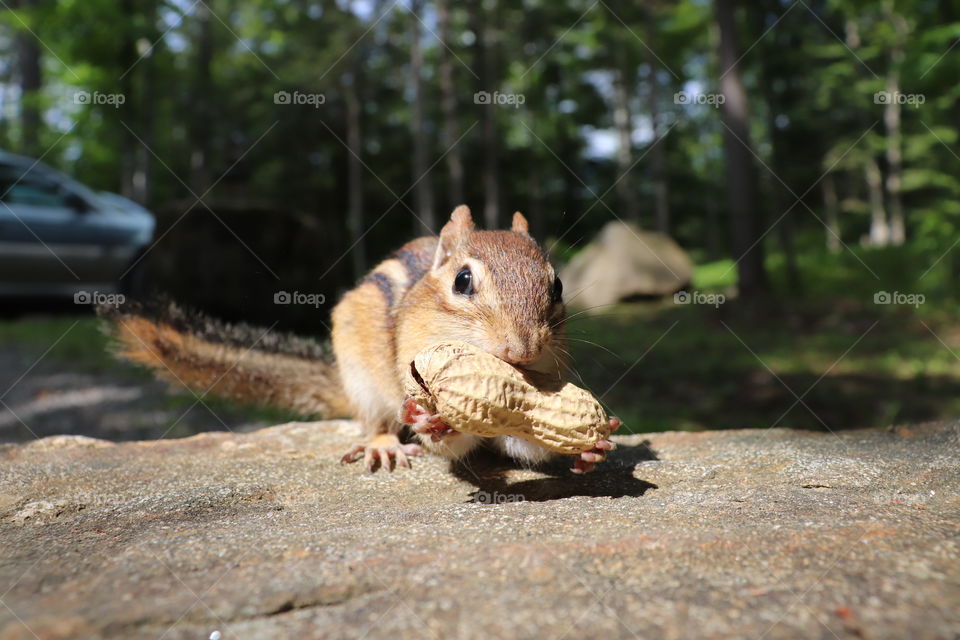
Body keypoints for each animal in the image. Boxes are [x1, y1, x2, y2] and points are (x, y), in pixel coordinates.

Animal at [103, 205, 618, 473]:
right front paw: (432, 425)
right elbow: (446, 446)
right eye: (463, 281)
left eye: (558, 286)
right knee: (374, 420)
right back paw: (384, 443)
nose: (520, 351)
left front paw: (591, 445)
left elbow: (525, 439)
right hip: (364, 381)